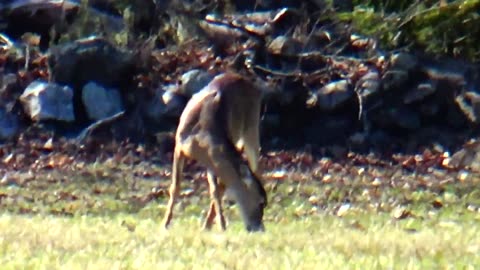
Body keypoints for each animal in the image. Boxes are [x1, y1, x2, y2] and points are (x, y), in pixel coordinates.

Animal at [161, 71, 266, 232]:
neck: (200, 139)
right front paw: (165, 224)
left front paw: (220, 225)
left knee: (254, 167)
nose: (260, 228)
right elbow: (176, 187)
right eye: (261, 202)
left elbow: (216, 191)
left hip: (252, 127)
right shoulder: (179, 146)